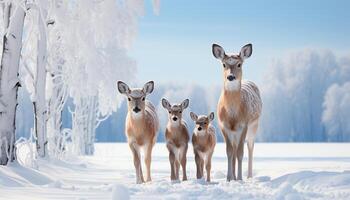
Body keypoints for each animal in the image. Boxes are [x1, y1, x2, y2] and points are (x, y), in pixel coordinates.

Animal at [212, 43, 262, 180]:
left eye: (239, 64)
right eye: (224, 64)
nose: (230, 76)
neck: (233, 116)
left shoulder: (244, 125)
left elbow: (240, 152)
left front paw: (239, 178)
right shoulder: (223, 125)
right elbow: (229, 151)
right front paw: (229, 178)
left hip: (254, 125)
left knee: (250, 147)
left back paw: (249, 176)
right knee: (234, 149)